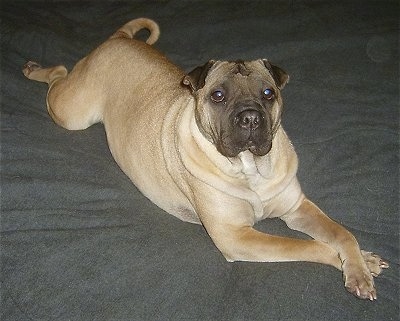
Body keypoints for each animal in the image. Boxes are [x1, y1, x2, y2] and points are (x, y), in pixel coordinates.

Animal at [22, 16, 388, 298]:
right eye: (218, 95)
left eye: (268, 93)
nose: (250, 117)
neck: (249, 168)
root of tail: (119, 39)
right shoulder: (236, 236)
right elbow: (307, 246)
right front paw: (359, 262)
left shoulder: (296, 208)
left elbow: (342, 233)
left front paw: (359, 263)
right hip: (72, 112)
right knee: (58, 74)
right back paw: (34, 68)